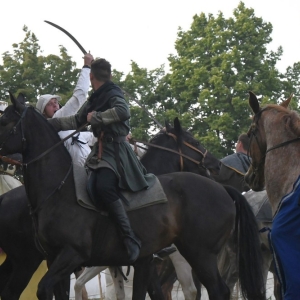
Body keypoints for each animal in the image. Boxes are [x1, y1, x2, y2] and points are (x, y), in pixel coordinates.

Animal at [0, 92, 262, 298]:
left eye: (3, 120)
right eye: (194, 142)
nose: (216, 165)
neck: (59, 191)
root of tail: (223, 190)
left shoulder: (80, 257)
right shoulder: (62, 259)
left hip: (200, 253)